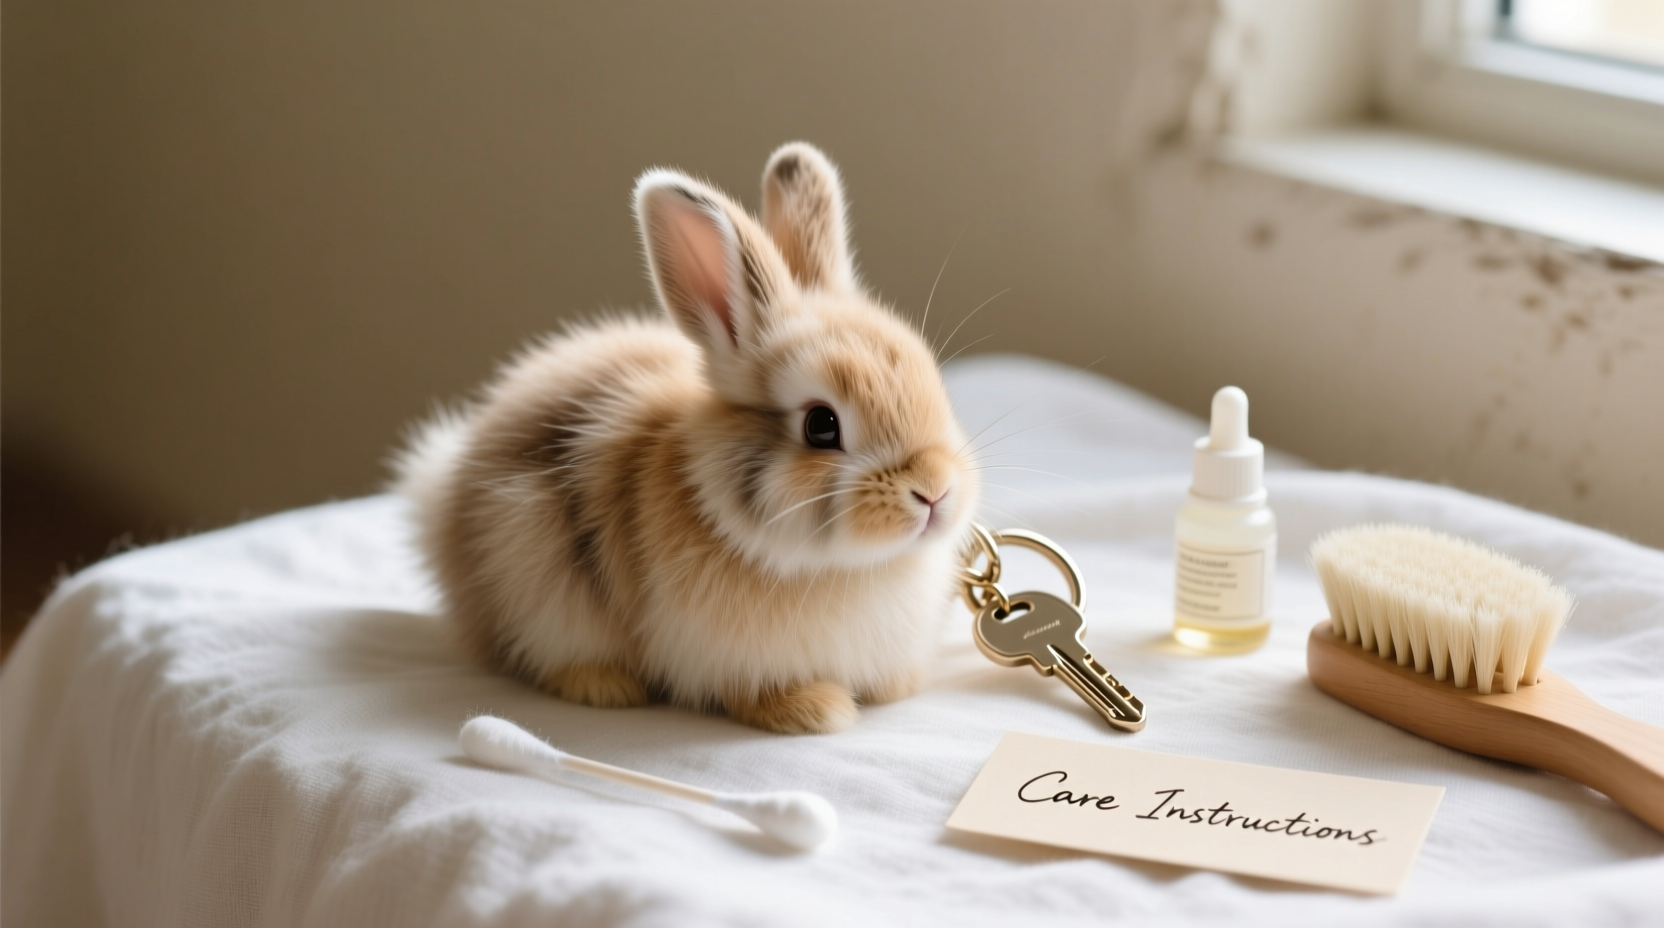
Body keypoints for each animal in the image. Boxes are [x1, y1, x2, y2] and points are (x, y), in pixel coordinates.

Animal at [395, 142, 978, 734]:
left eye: (934, 382)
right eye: (821, 425)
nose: (935, 491)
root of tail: (444, 506)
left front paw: (896, 687)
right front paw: (815, 710)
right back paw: (604, 686)